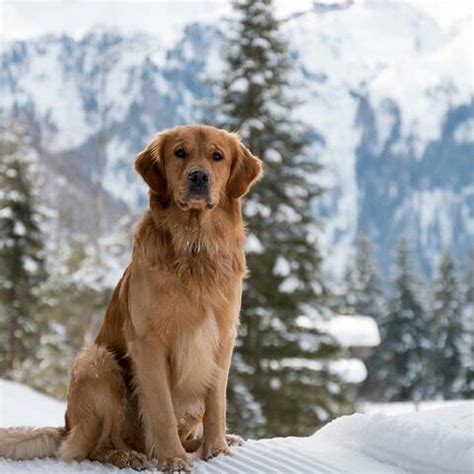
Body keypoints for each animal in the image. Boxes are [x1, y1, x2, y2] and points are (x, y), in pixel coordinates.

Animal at [0, 126, 262, 470]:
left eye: (217, 156)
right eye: (180, 153)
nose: (199, 177)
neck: (195, 246)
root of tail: (67, 425)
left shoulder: (222, 338)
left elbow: (217, 404)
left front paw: (217, 450)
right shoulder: (149, 342)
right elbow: (162, 409)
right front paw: (173, 459)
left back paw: (206, 442)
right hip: (97, 362)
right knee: (97, 446)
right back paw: (127, 455)